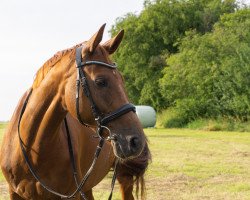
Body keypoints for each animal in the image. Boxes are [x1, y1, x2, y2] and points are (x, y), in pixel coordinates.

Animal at [0, 24, 150, 199]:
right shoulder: (14, 193)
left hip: (123, 176)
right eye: (100, 81)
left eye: (122, 79)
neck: (32, 148)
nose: (136, 140)